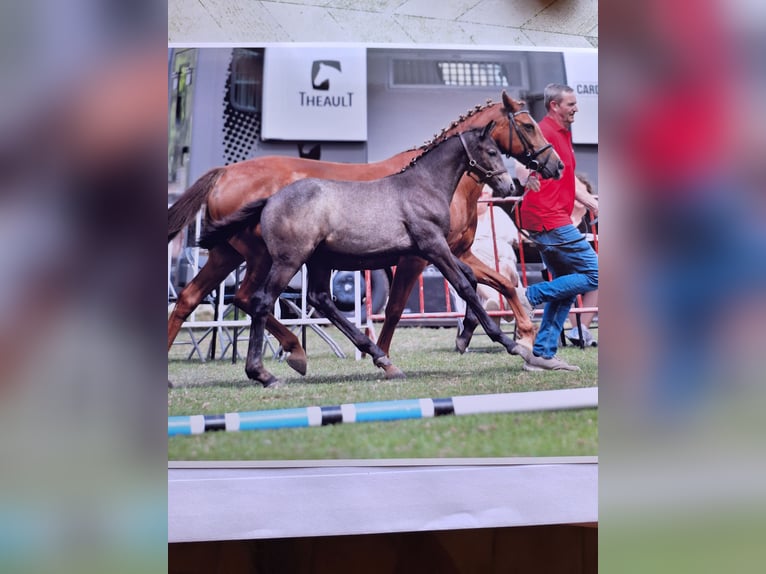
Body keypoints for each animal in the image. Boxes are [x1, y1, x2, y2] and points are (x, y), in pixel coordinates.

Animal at [168, 91, 564, 378]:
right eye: (528, 125)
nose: (555, 165)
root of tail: (224, 172)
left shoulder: (456, 250)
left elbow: (499, 283)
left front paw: (511, 336)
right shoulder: (420, 255)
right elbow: (401, 307)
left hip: (233, 253)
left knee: (195, 298)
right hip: (266, 256)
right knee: (252, 298)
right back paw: (287, 356)